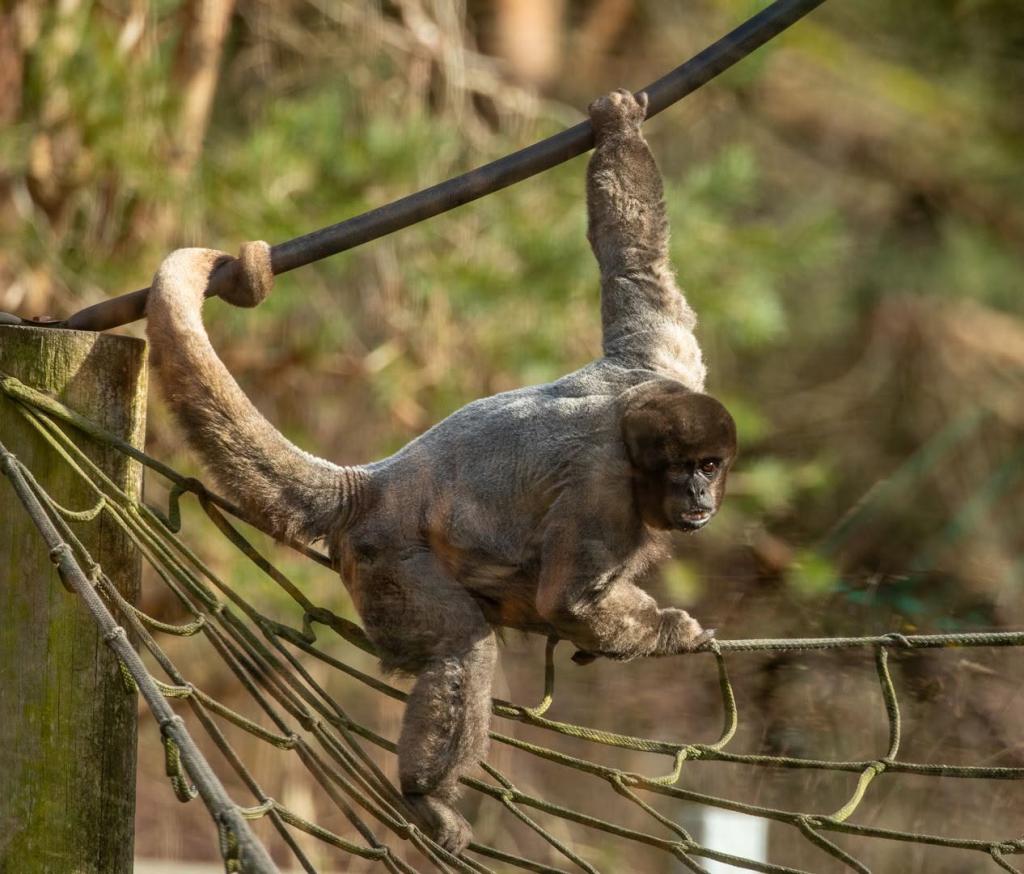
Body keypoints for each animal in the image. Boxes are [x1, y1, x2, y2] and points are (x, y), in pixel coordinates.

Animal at [145, 89, 737, 855]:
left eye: (710, 465)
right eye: (684, 469)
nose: (699, 493)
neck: (633, 429)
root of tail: (372, 484)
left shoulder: (667, 362)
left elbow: (636, 265)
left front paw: (619, 126)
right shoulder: (604, 489)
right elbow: (568, 599)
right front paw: (671, 632)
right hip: (386, 560)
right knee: (462, 646)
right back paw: (425, 794)